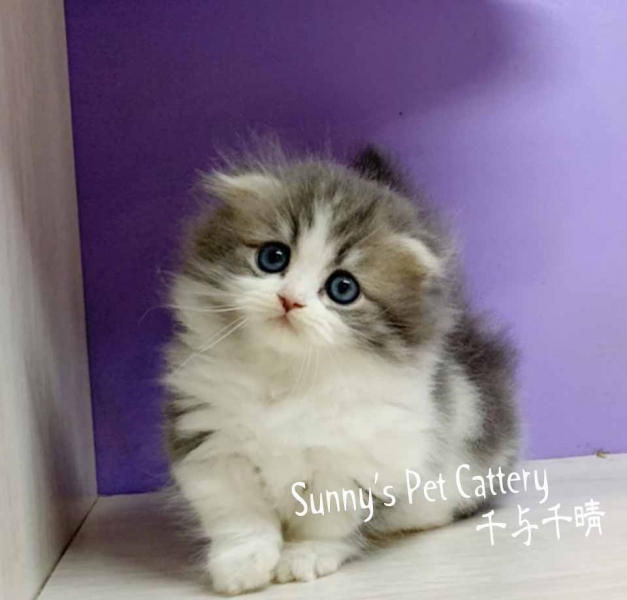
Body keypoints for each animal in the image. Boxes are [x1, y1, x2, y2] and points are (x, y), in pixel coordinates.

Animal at [163, 143, 519, 595]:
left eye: (343, 288)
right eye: (273, 257)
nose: (289, 300)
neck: (288, 378)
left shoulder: (356, 458)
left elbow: (325, 520)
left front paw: (304, 557)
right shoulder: (211, 439)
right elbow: (238, 513)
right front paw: (242, 565)